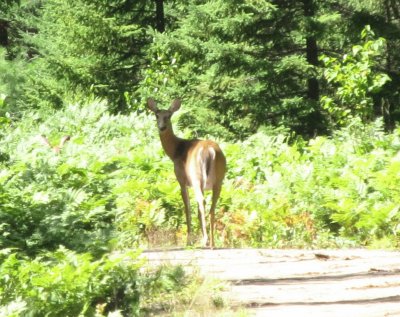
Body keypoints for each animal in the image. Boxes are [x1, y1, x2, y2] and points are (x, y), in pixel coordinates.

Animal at [148, 97, 228, 248]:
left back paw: (205, 241)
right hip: (218, 180)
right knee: (212, 207)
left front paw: (189, 240)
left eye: (168, 116)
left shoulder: (181, 180)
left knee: (202, 202)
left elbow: (187, 208)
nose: (162, 127)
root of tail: (210, 151)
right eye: (157, 115)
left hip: (196, 176)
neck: (175, 151)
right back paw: (212, 243)